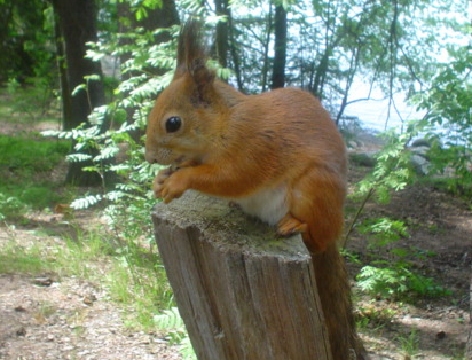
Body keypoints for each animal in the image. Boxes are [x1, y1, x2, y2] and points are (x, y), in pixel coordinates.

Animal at [146, 20, 364, 360]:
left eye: (173, 123)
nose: (149, 157)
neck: (223, 123)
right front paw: (162, 178)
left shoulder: (253, 148)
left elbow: (229, 178)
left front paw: (178, 181)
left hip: (314, 188)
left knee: (317, 236)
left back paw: (297, 224)